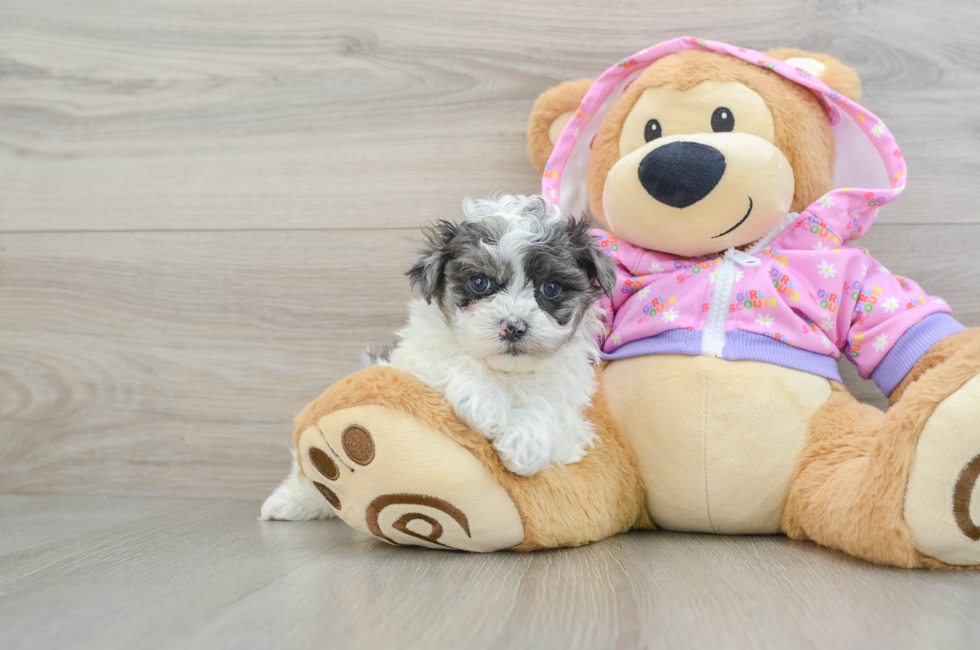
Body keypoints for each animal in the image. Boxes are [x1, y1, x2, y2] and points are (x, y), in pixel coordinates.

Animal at [260, 194, 612, 520]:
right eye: (480, 282)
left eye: (551, 288)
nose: (514, 326)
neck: (505, 372)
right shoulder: (413, 361)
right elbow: (452, 357)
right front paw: (486, 405)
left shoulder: (571, 405)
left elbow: (550, 408)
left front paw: (523, 443)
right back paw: (288, 503)